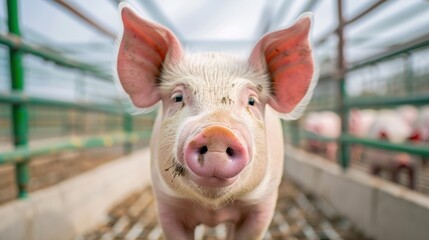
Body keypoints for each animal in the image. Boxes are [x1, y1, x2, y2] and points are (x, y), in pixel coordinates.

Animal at [115, 3, 316, 240]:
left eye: (252, 101)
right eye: (177, 97)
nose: (217, 131)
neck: (213, 208)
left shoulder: (262, 205)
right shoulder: (167, 204)